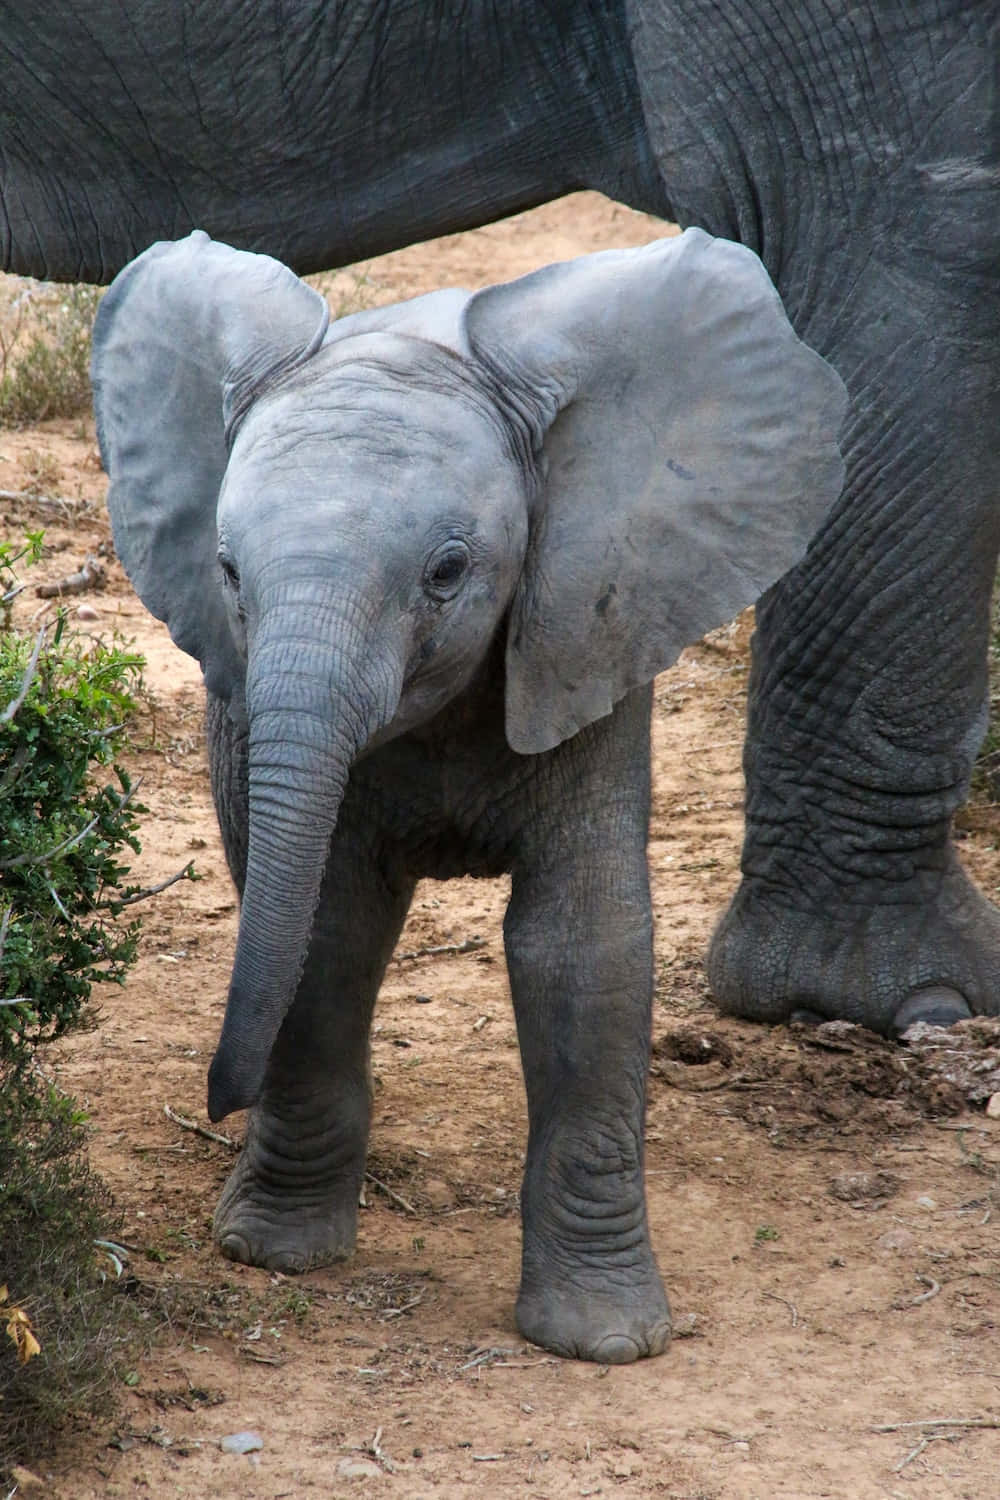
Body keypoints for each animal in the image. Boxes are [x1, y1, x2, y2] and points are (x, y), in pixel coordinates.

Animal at [91, 228, 846, 1361]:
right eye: (225, 572)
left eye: (448, 572)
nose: (219, 1100)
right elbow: (329, 929)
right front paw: (274, 1254)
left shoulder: (588, 623)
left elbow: (580, 950)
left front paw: (602, 1342)